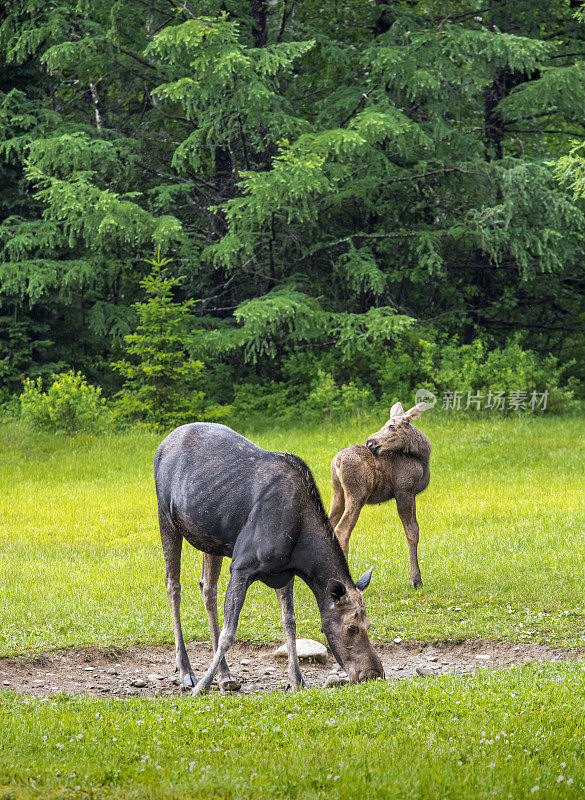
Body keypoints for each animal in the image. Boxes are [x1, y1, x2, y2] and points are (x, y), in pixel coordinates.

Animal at [155, 424, 384, 692]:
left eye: (369, 624)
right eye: (351, 627)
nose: (373, 673)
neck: (301, 548)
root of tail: (163, 444)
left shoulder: (284, 573)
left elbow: (289, 621)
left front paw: (296, 679)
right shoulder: (241, 567)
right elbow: (229, 632)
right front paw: (201, 686)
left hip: (209, 538)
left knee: (207, 587)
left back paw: (225, 674)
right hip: (166, 518)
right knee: (173, 585)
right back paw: (186, 671)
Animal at [328, 404, 428, 592]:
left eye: (392, 426)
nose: (370, 442)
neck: (423, 458)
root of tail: (336, 463)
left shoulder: (412, 494)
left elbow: (415, 529)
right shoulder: (404, 490)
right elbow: (412, 531)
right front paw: (415, 579)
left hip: (338, 493)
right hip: (357, 494)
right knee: (342, 530)